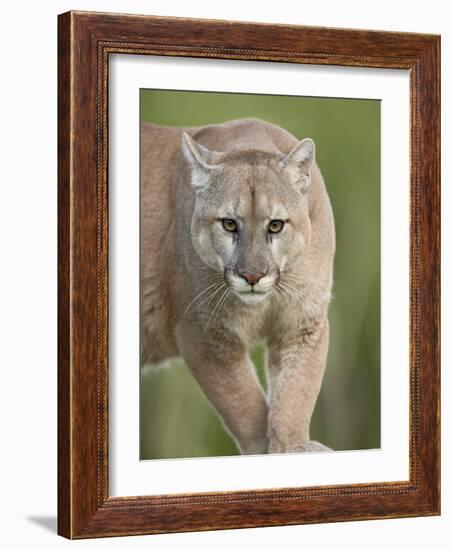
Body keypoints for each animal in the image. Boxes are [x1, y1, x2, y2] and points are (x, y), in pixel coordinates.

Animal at [141, 117, 336, 458]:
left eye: (276, 225)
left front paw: (293, 447)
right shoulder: (204, 335)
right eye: (229, 224)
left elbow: (296, 392)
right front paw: (265, 451)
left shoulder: (303, 325)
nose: (252, 276)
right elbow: (245, 405)